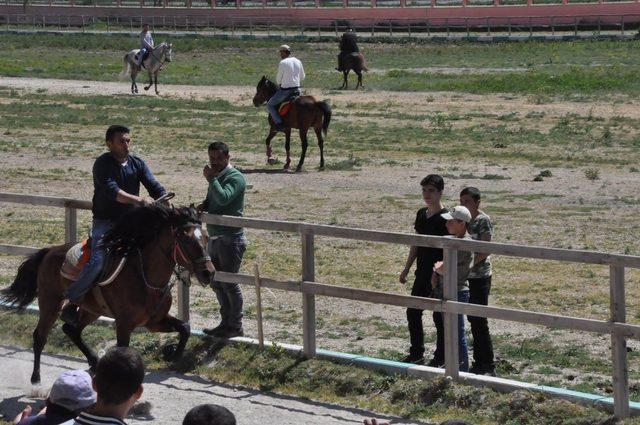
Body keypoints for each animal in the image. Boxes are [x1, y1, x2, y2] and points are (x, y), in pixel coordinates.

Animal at [1, 203, 214, 384]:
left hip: (92, 310)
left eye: (205, 237)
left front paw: (173, 354)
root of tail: (49, 251)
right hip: (50, 302)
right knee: (40, 337)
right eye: (186, 238)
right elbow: (123, 350)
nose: (208, 272)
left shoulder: (155, 321)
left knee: (71, 329)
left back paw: (94, 360)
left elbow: (185, 327)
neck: (145, 278)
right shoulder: (124, 324)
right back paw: (35, 379)